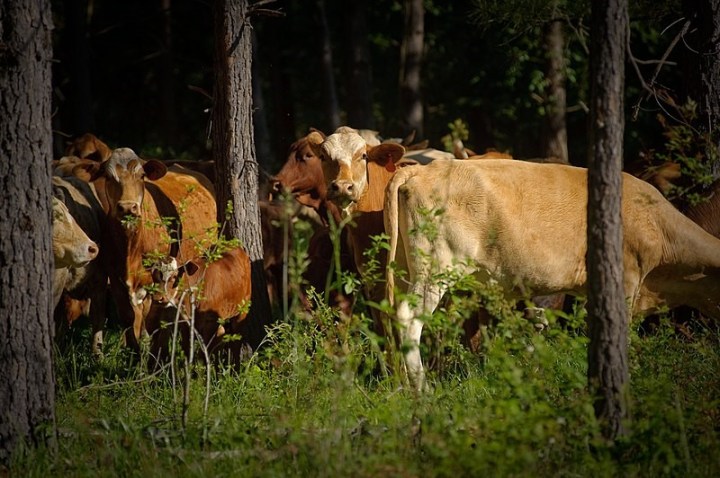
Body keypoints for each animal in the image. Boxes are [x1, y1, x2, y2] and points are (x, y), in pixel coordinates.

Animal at [75, 147, 218, 353]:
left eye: (142, 176)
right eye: (108, 177)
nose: (128, 207)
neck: (131, 247)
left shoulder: (155, 279)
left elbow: (150, 316)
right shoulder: (115, 277)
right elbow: (128, 315)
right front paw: (134, 350)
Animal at [383, 159, 720, 390]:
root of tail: (423, 169)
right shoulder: (626, 279)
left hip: (405, 269)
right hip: (434, 270)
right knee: (409, 319)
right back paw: (424, 390)